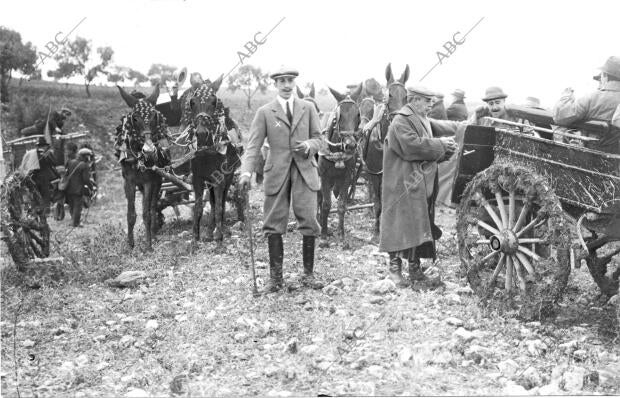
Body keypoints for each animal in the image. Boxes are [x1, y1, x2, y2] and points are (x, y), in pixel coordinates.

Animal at [115, 84, 170, 250]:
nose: (150, 151)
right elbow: (131, 214)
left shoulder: (149, 182)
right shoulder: (129, 182)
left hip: (158, 181)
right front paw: (130, 245)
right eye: (134, 118)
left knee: (153, 207)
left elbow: (147, 213)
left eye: (154, 116)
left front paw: (148, 245)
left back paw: (154, 234)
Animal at [179, 74, 240, 243]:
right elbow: (199, 206)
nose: (201, 134)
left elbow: (219, 205)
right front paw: (196, 236)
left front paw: (219, 234)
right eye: (192, 102)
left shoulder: (219, 178)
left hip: (228, 177)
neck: (206, 152)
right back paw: (209, 231)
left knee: (221, 201)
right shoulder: (198, 179)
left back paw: (221, 228)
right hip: (210, 182)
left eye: (214, 102)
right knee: (212, 202)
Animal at [320, 82, 364, 247]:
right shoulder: (323, 177)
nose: (350, 145)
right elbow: (326, 205)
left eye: (358, 115)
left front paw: (342, 236)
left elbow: (341, 205)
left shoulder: (346, 177)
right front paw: (323, 237)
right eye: (338, 117)